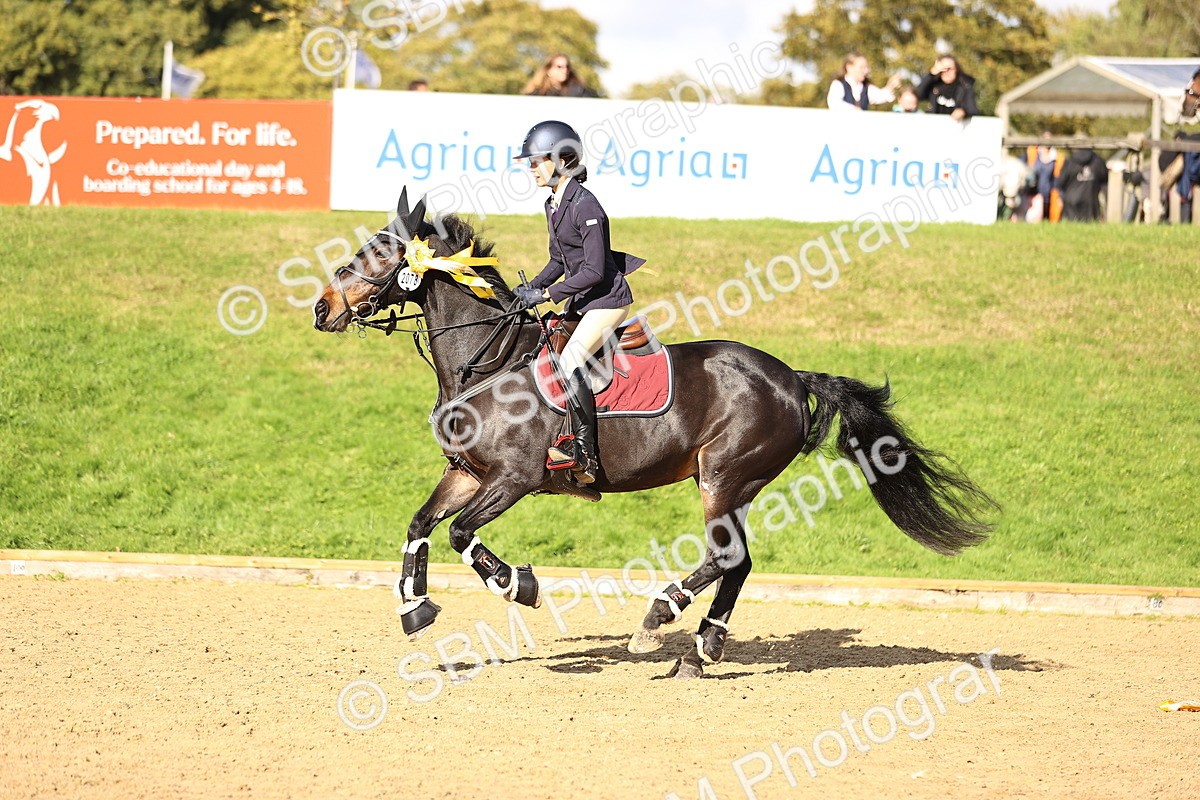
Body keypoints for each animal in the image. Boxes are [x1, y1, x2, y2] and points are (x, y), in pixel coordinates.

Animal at [312, 189, 999, 679]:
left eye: (377, 254)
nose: (322, 309)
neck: (488, 361)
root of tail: (790, 377)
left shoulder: (513, 479)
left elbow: (459, 533)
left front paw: (521, 586)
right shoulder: (466, 473)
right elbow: (420, 525)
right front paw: (415, 609)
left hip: (724, 475)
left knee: (726, 557)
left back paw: (656, 620)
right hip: (729, 483)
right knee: (739, 561)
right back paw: (700, 649)